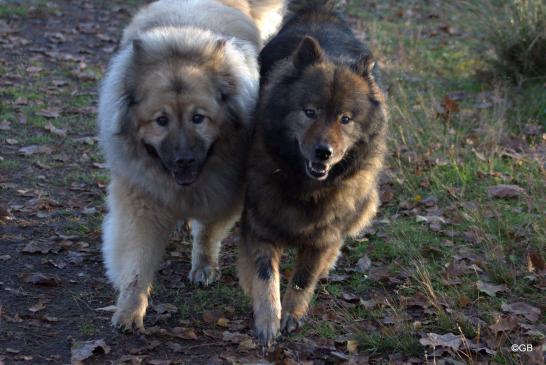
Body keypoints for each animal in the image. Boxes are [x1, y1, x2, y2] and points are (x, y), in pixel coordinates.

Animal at [98, 0, 282, 330]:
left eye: (198, 118)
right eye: (161, 120)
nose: (184, 159)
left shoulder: (222, 196)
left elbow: (207, 233)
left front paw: (204, 265)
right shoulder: (141, 202)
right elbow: (137, 261)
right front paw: (130, 308)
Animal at [238, 0, 386, 344]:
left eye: (345, 119)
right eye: (310, 112)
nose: (324, 152)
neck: (305, 186)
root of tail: (321, 11)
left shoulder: (324, 234)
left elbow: (304, 276)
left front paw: (292, 314)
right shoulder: (259, 223)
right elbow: (265, 277)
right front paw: (268, 321)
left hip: (365, 203)